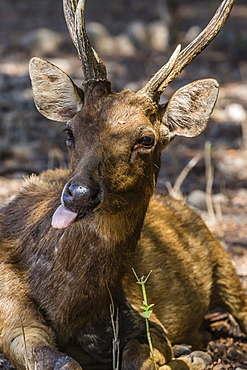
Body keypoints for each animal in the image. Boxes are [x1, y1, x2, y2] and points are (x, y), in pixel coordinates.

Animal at [0, 0, 245, 368]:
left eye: (146, 139)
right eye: (70, 130)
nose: (79, 194)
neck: (69, 310)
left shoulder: (145, 318)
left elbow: (137, 356)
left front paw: (179, 359)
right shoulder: (10, 315)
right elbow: (61, 360)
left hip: (224, 263)